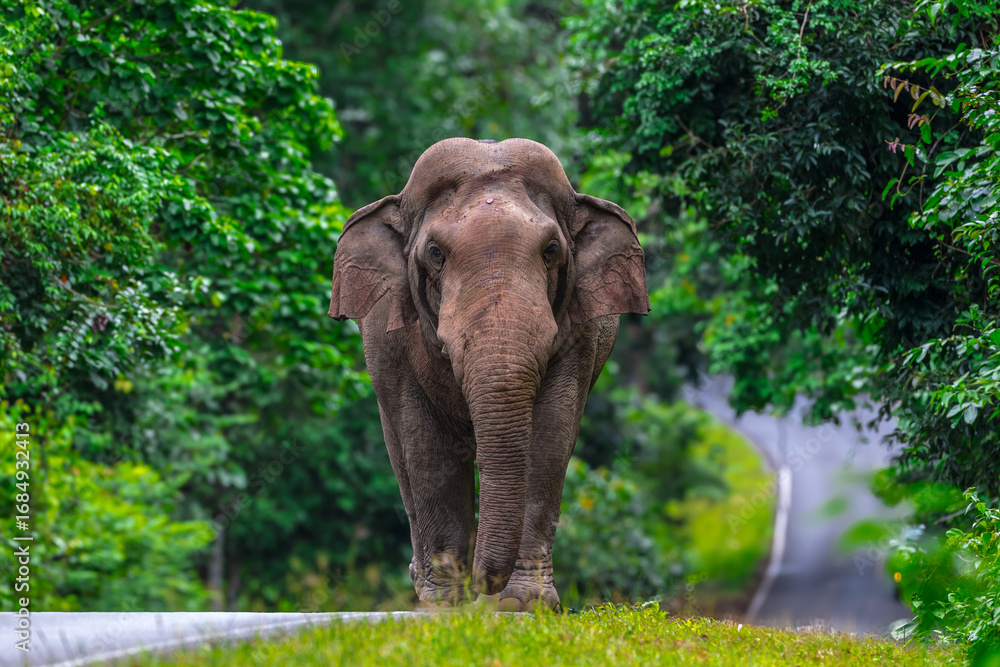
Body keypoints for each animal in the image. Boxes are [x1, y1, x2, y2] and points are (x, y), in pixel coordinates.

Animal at [329, 137, 649, 610]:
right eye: (435, 253)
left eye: (551, 251)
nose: (481, 584)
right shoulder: (394, 338)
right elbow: (426, 445)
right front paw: (445, 605)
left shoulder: (579, 335)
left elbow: (549, 438)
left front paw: (524, 604)